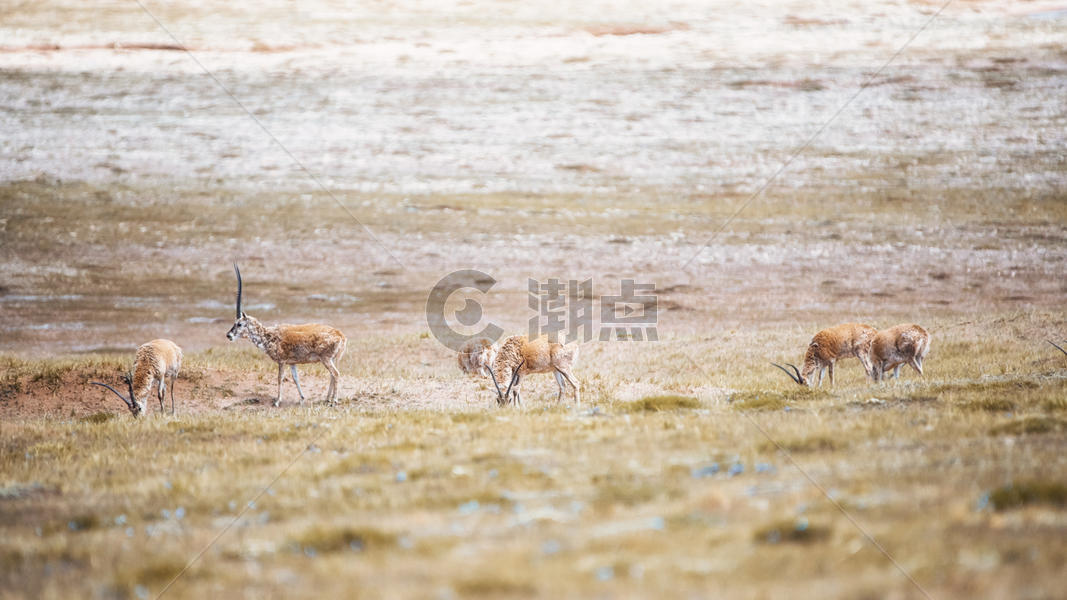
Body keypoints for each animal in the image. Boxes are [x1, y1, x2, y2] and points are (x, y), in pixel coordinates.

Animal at [227, 262, 347, 405]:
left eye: (239, 324)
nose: (229, 335)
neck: (270, 335)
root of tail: (340, 335)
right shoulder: (292, 363)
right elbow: (295, 378)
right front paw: (302, 398)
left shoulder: (282, 361)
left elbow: (280, 378)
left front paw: (277, 401)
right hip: (331, 359)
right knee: (332, 375)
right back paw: (327, 398)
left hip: (326, 359)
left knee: (336, 374)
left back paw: (334, 400)